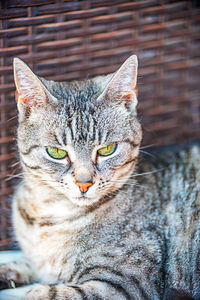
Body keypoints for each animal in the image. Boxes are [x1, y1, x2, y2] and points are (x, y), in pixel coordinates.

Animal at [0, 54, 199, 300]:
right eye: (56, 152)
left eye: (107, 150)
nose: (84, 184)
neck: (48, 213)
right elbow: (26, 264)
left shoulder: (124, 282)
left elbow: (47, 293)